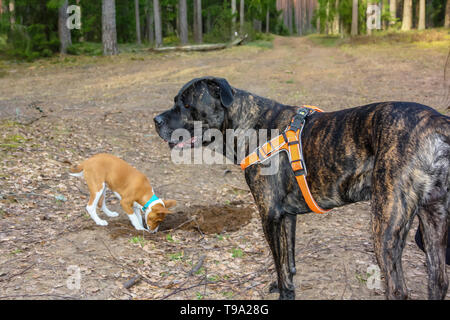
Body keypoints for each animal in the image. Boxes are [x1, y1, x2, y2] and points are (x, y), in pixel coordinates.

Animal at [153, 76, 448, 298]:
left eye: (185, 104)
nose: (156, 120)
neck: (249, 124)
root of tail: (438, 123)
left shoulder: (269, 216)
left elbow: (279, 263)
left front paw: (285, 294)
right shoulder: (287, 216)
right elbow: (288, 261)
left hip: (386, 226)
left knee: (398, 289)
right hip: (433, 220)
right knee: (439, 279)